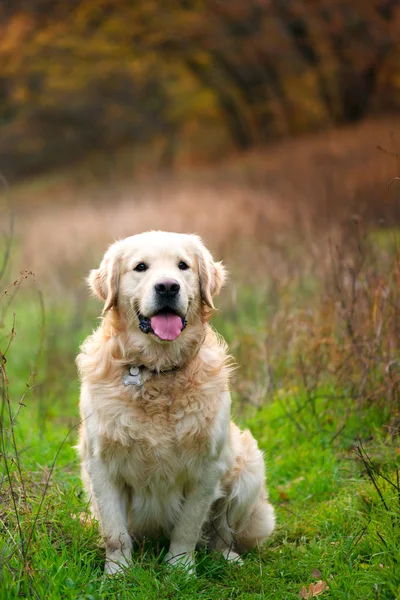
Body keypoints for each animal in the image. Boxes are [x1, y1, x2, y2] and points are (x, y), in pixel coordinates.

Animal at [76, 230, 274, 572]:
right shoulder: (101, 465)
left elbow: (188, 527)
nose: (168, 286)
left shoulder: (207, 466)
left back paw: (228, 557)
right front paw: (118, 573)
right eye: (140, 267)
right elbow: (116, 533)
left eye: (183, 265)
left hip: (249, 467)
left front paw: (180, 569)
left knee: (222, 531)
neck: (157, 370)